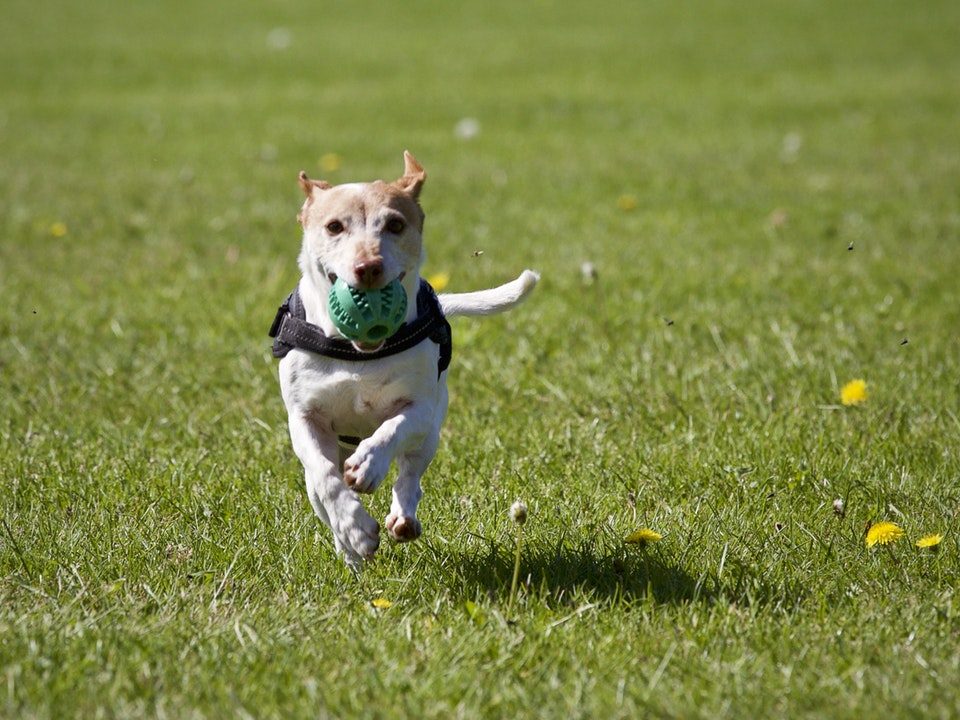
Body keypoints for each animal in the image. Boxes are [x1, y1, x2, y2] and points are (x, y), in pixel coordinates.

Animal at [270, 152, 540, 568]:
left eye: (395, 224)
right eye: (334, 227)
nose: (368, 267)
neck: (358, 354)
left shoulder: (421, 409)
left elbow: (392, 430)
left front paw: (369, 464)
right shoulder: (304, 418)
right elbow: (327, 478)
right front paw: (355, 529)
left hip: (431, 433)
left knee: (411, 473)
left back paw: (402, 516)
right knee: (321, 490)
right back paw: (350, 552)